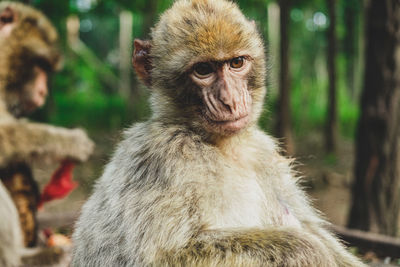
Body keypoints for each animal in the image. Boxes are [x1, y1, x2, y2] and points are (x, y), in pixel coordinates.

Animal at [70, 0, 364, 266]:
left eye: (237, 63)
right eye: (203, 70)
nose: (230, 101)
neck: (224, 146)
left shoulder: (263, 152)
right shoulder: (164, 155)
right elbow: (160, 257)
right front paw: (307, 251)